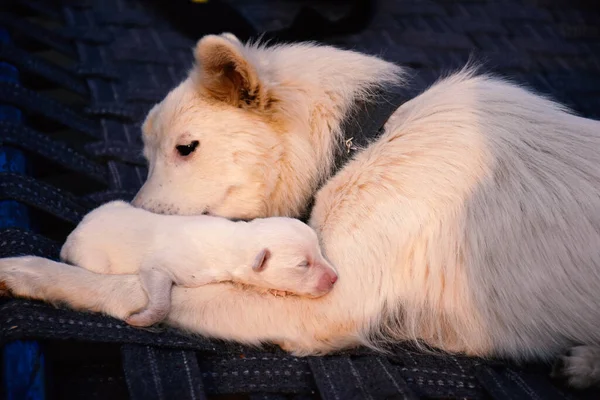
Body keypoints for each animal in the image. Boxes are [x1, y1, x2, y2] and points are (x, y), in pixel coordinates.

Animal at [59, 202, 338, 326]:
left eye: (319, 251)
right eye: (303, 264)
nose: (335, 278)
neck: (235, 240)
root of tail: (72, 235)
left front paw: (276, 289)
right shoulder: (160, 266)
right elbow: (159, 292)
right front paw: (142, 318)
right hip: (94, 258)